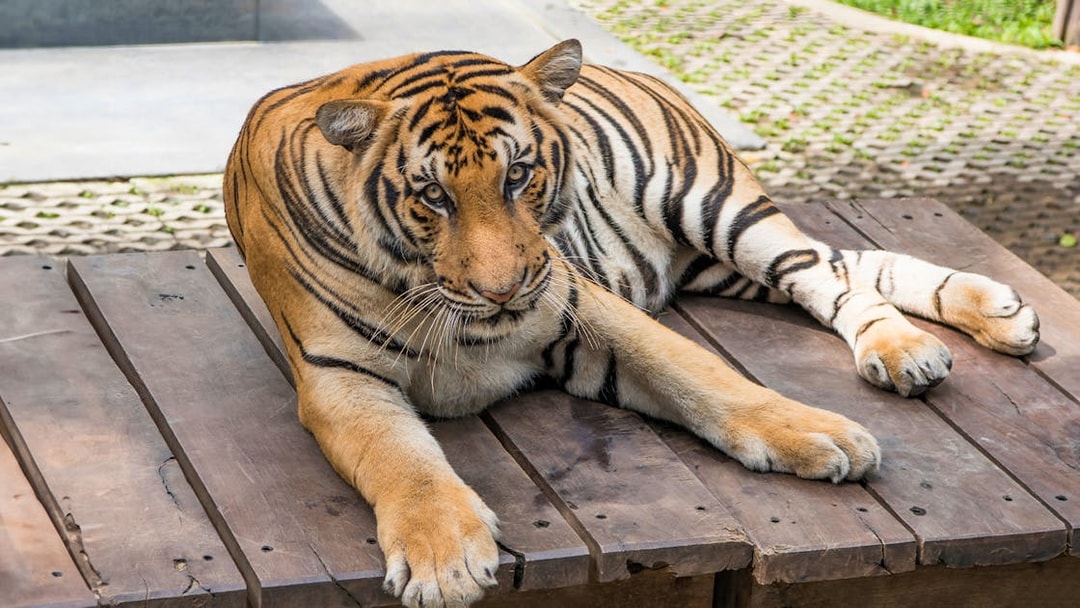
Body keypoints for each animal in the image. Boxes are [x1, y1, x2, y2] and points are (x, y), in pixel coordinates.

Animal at [223, 39, 1039, 607]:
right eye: (432, 195)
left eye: (518, 175)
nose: (503, 291)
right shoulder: (338, 378)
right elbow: (402, 460)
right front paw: (445, 558)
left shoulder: (578, 303)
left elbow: (702, 376)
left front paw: (819, 434)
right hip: (721, 264)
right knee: (843, 269)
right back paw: (990, 317)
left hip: (722, 212)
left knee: (824, 271)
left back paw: (922, 346)